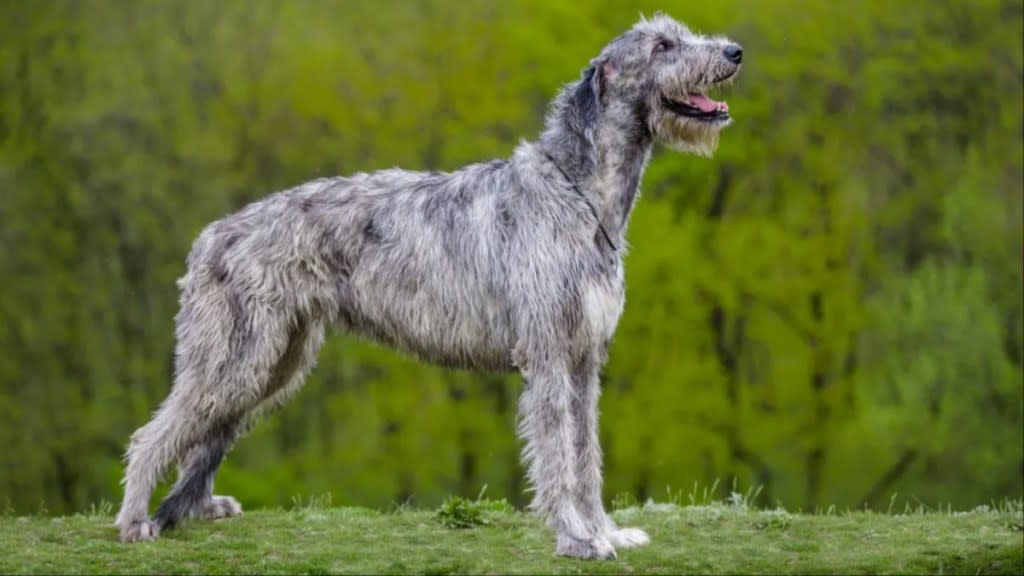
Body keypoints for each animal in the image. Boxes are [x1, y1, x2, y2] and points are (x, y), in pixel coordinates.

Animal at [117, 15, 745, 557]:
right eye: (662, 46)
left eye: (681, 33)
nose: (734, 52)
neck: (578, 193)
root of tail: (210, 236)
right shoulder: (546, 353)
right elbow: (557, 456)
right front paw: (576, 537)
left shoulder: (585, 357)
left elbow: (586, 453)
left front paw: (604, 530)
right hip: (237, 354)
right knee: (155, 432)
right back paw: (134, 521)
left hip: (276, 361)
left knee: (208, 431)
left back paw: (195, 509)